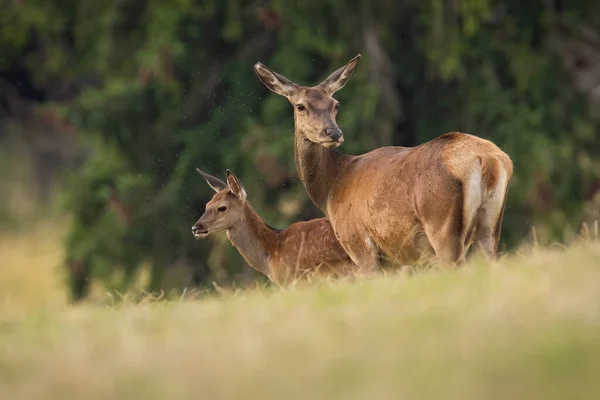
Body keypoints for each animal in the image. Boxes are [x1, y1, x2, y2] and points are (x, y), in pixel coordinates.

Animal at [253, 54, 510, 272]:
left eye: (335, 104)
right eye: (300, 106)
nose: (333, 133)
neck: (331, 188)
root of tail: (488, 161)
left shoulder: (360, 245)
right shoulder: (395, 260)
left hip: (442, 225)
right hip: (490, 226)